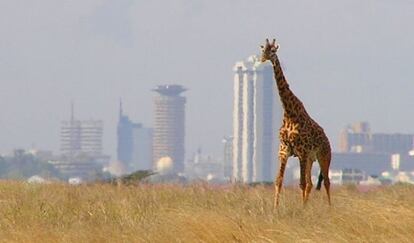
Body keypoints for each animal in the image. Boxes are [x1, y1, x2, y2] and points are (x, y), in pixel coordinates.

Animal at [260, 39, 332, 208]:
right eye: (262, 49)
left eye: (273, 51)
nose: (263, 58)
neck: (289, 114)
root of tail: (327, 140)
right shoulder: (284, 151)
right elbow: (279, 181)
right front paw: (275, 208)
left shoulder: (302, 151)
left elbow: (301, 183)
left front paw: (302, 209)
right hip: (311, 159)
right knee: (312, 183)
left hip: (324, 156)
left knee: (326, 182)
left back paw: (330, 208)